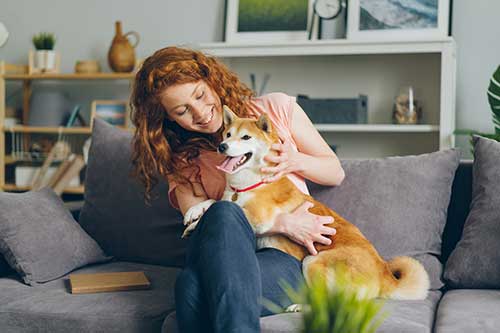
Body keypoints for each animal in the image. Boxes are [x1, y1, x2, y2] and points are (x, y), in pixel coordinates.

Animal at [184, 105, 430, 300]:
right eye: (227, 134)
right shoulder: (230, 196)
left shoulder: (258, 216)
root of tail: (384, 275)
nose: (222, 146)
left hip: (312, 262)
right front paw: (193, 212)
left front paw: (197, 223)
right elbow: (215, 200)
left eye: (245, 137)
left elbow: (223, 207)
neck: (250, 183)